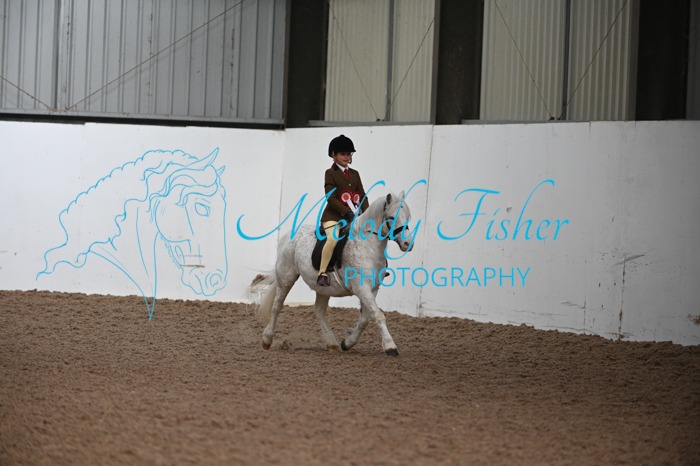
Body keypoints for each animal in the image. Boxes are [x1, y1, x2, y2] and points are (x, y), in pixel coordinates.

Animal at [257, 191, 416, 356]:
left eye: (408, 217)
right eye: (391, 218)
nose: (407, 244)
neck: (367, 246)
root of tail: (288, 235)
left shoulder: (372, 289)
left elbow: (365, 318)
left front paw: (347, 343)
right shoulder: (361, 288)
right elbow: (378, 315)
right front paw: (390, 346)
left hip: (323, 287)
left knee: (319, 311)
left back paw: (331, 343)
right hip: (286, 277)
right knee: (277, 306)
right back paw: (267, 339)